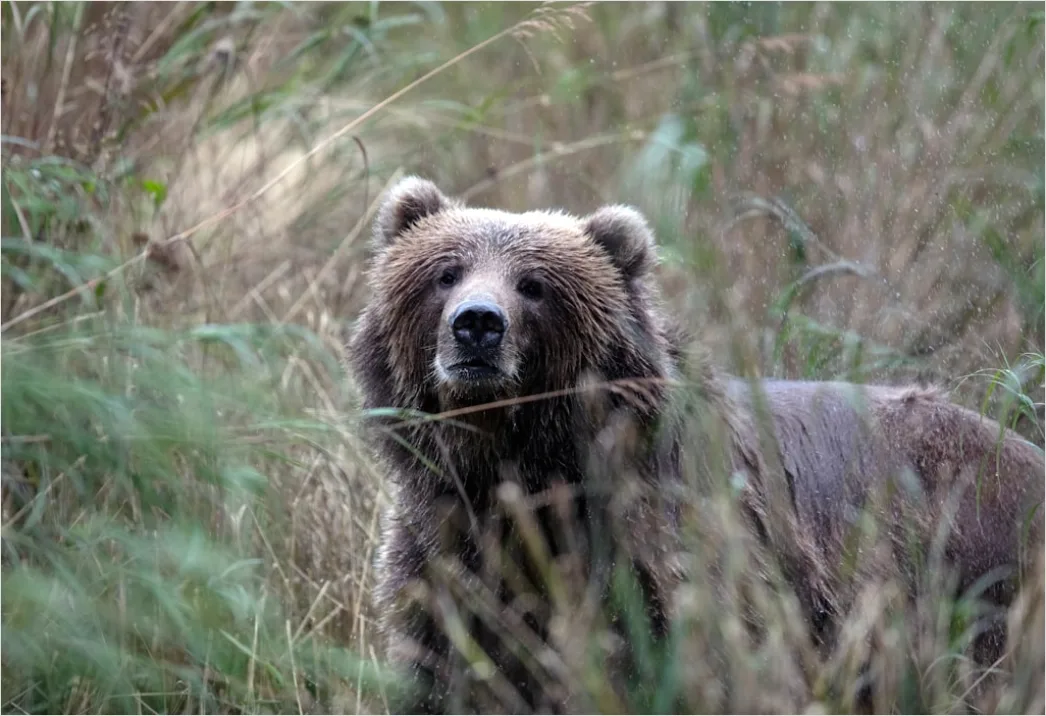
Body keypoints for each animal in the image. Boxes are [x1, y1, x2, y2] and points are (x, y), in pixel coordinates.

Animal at [346, 176, 1045, 714]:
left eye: (533, 285)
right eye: (446, 272)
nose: (477, 325)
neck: (523, 464)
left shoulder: (666, 548)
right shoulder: (447, 545)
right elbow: (452, 662)